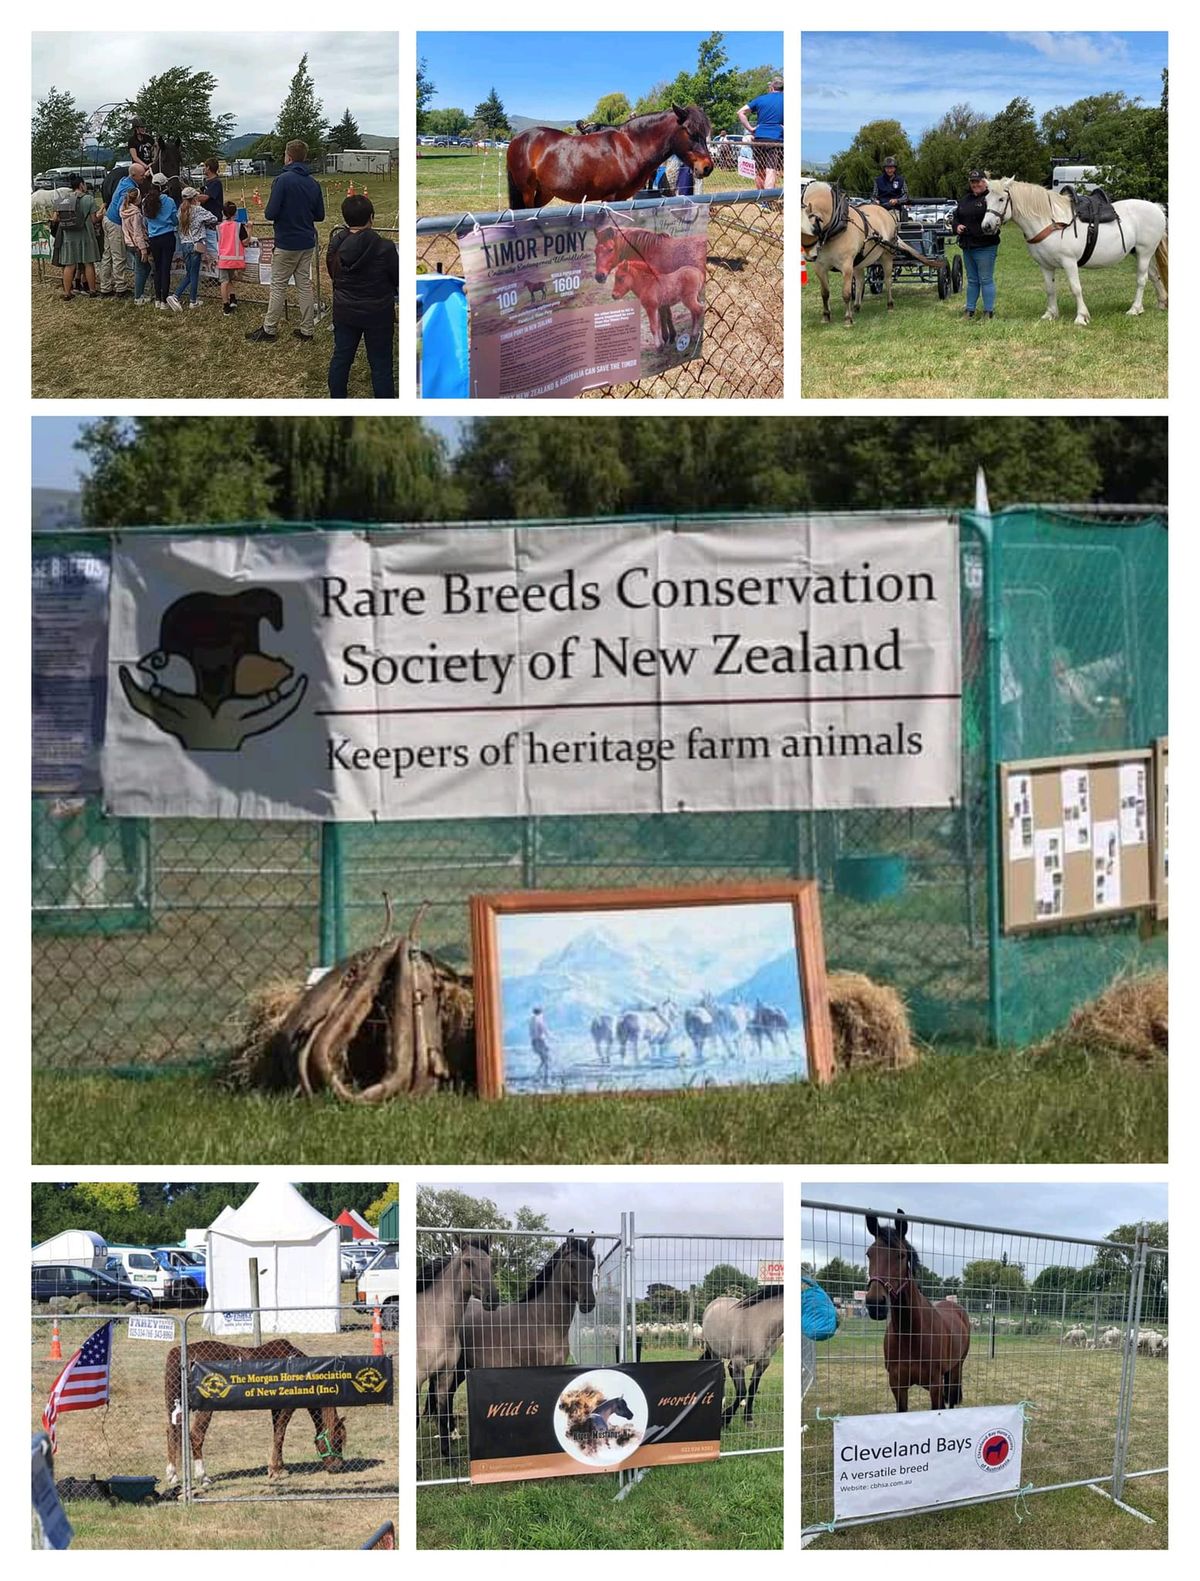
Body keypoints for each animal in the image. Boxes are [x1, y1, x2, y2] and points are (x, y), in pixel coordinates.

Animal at [162, 1340, 347, 1486]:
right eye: (338, 1440)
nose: (338, 1467)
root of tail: (180, 1353)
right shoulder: (288, 1407)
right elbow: (280, 1434)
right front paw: (274, 1470)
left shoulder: (276, 1408)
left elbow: (278, 1434)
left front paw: (279, 1468)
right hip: (204, 1409)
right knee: (196, 1436)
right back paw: (203, 1477)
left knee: (172, 1432)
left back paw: (172, 1475)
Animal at [505, 105, 714, 210]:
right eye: (691, 132)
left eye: (706, 133)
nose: (707, 167)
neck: (629, 148)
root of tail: (517, 139)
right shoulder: (610, 198)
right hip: (526, 191)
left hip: (545, 192)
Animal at [698, 1277, 784, 1429]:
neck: (761, 1323)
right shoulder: (739, 1361)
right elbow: (742, 1391)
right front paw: (725, 1420)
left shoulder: (763, 1362)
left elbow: (752, 1389)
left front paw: (748, 1418)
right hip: (715, 1351)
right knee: (723, 1374)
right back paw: (721, 1402)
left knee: (730, 1371)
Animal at [803, 179, 942, 324]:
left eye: (813, 228)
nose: (808, 257)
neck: (835, 229)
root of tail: (886, 213)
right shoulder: (820, 266)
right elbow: (825, 293)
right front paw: (826, 316)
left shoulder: (846, 265)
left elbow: (846, 293)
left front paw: (848, 319)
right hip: (859, 261)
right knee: (859, 281)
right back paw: (857, 306)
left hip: (886, 256)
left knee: (887, 280)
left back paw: (890, 305)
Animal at [866, 1207, 973, 1410]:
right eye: (869, 1254)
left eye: (901, 1255)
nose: (875, 1304)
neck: (910, 1333)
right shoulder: (898, 1386)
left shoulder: (935, 1385)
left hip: (956, 1368)